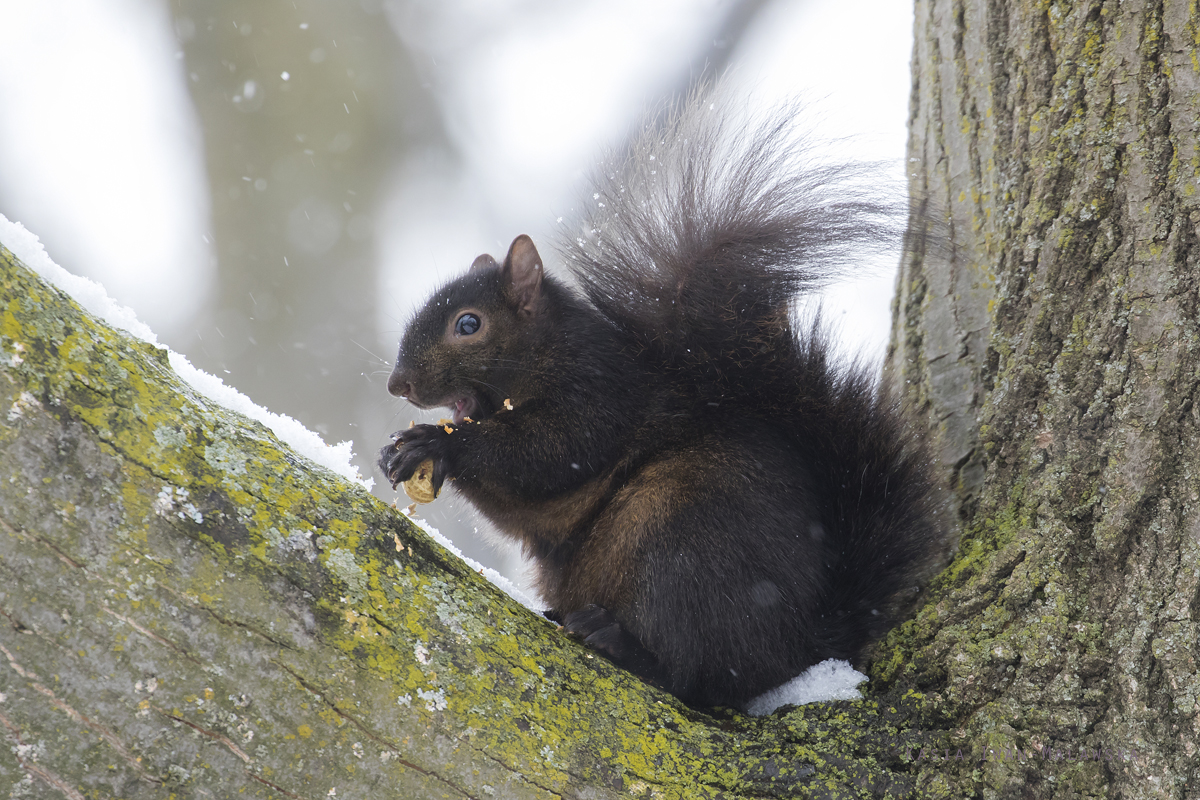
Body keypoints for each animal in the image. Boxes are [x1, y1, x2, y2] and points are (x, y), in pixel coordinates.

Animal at [379, 94, 940, 705]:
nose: (398, 384)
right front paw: (402, 450)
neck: (547, 355)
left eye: (469, 324)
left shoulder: (599, 396)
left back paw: (620, 643)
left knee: (691, 670)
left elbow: (544, 455)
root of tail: (802, 645)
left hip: (682, 544)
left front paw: (436, 445)